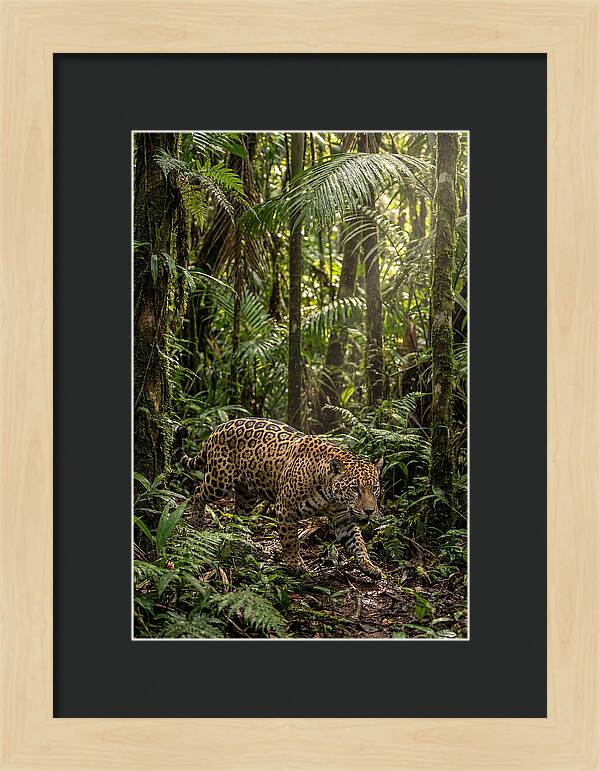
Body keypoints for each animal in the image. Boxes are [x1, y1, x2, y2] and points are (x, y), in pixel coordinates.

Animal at [174, 417, 384, 579]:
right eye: (355, 489)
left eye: (374, 489)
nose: (369, 511)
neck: (330, 495)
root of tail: (217, 429)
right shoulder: (286, 509)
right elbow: (290, 540)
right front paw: (295, 564)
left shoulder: (343, 519)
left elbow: (358, 542)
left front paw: (369, 566)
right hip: (219, 481)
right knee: (197, 492)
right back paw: (198, 523)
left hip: (247, 494)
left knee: (239, 514)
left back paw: (242, 539)